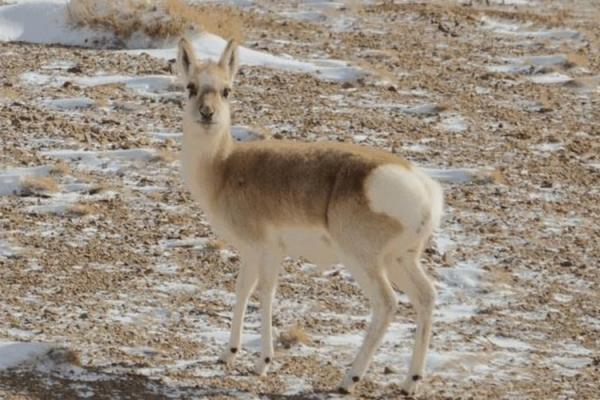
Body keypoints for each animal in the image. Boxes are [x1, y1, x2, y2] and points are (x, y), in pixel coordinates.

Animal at [176, 37, 442, 394]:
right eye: (191, 87)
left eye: (226, 89)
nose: (207, 114)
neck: (224, 166)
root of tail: (425, 188)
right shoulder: (249, 252)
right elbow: (242, 289)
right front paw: (228, 354)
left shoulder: (268, 251)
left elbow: (265, 293)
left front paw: (262, 363)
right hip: (401, 260)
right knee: (426, 297)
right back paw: (410, 382)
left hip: (364, 261)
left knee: (387, 303)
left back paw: (349, 379)